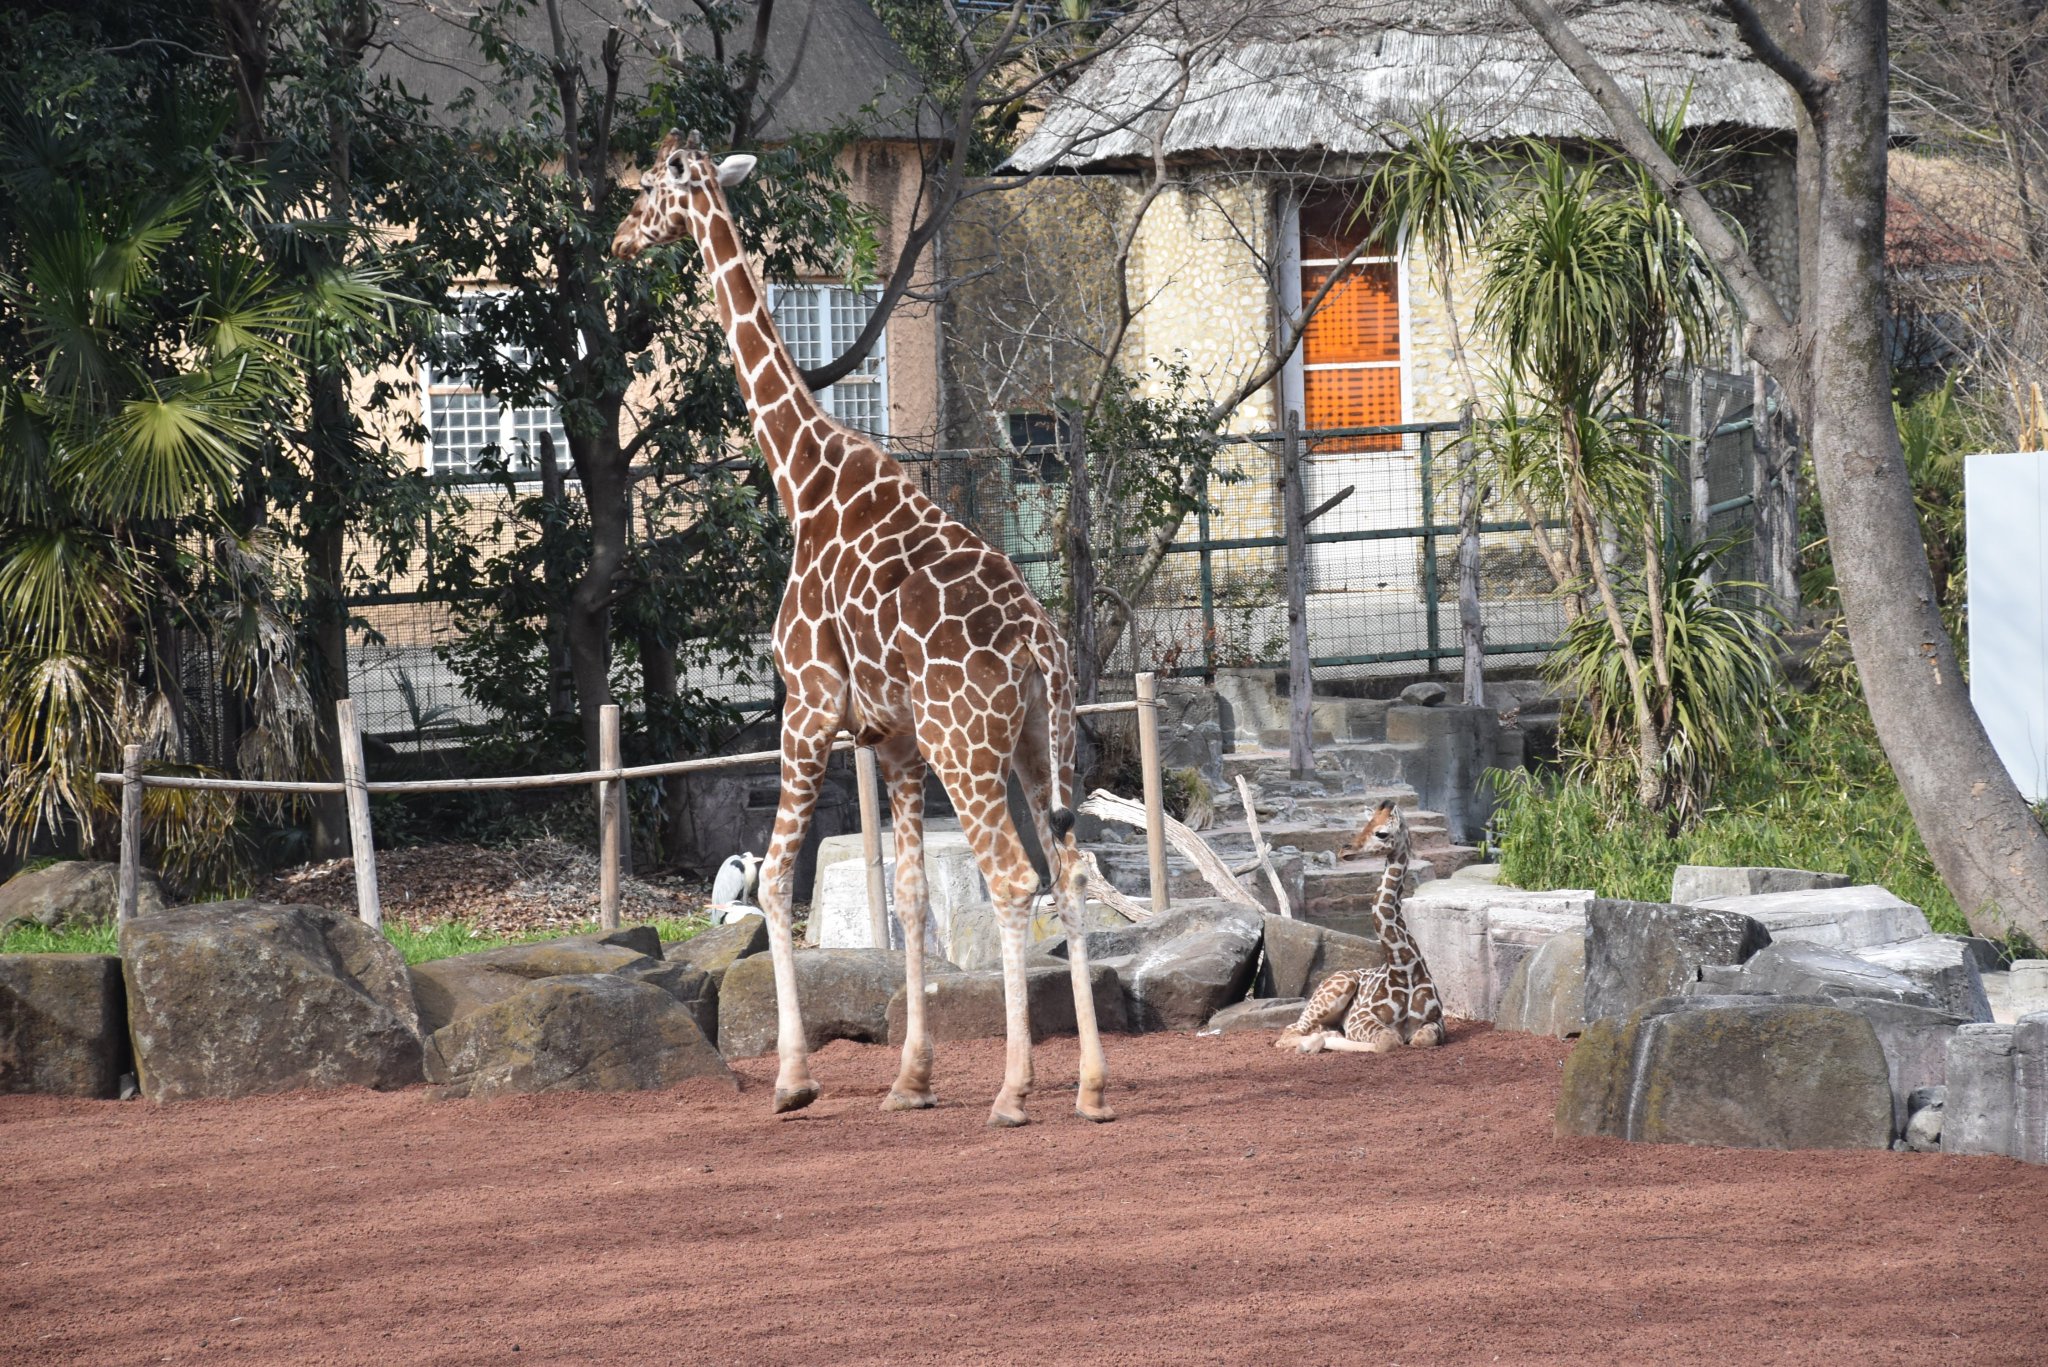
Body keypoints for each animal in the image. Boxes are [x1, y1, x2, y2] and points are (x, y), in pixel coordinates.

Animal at [611, 131, 1113, 1128]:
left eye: (649, 188)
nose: (616, 238)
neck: (801, 475)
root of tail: (1041, 649)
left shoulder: (807, 707)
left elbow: (774, 881)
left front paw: (794, 1079)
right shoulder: (895, 741)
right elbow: (908, 896)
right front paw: (911, 1078)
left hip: (971, 748)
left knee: (1015, 880)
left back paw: (1014, 1090)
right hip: (1042, 745)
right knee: (1070, 873)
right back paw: (1088, 1086)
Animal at [1275, 800, 1445, 1053]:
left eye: (1381, 833)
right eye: (1366, 824)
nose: (1344, 851)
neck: (1404, 968)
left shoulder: (1437, 1020)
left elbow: (1421, 1039)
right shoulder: (1359, 1017)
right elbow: (1388, 1040)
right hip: (1336, 988)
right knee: (1289, 1031)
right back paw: (1313, 1042)